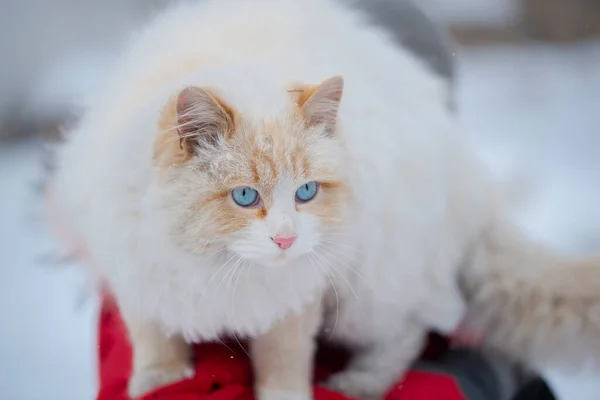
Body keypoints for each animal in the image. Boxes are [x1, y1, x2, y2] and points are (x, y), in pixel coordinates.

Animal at [51, 0, 600, 398]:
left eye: (306, 192)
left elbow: (284, 368)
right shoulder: (139, 277)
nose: (286, 239)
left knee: (410, 333)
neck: (217, 268)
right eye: (245, 196)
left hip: (367, 293)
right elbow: (154, 342)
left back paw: (360, 383)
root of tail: (469, 176)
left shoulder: (296, 301)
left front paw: (286, 396)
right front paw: (160, 380)